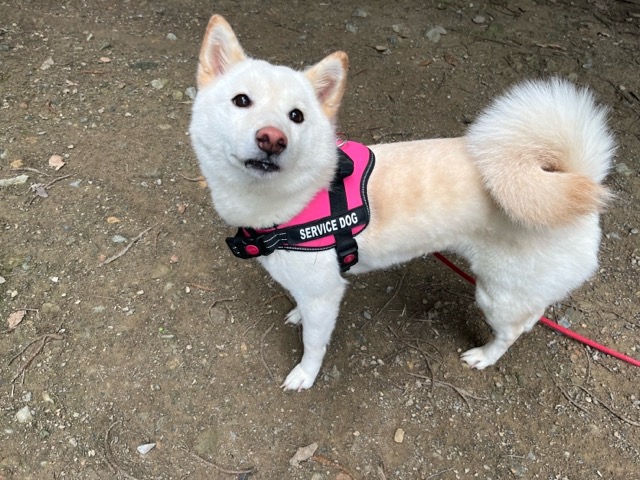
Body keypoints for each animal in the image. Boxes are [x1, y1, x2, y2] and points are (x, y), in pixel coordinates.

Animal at [189, 14, 615, 391]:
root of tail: (579, 181)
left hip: (498, 294)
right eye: (241, 100)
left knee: (512, 330)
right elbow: (299, 304)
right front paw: (295, 313)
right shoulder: (307, 286)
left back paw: (484, 355)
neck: (298, 197)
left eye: (297, 116)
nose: (272, 139)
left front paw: (305, 376)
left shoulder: (325, 296)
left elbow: (313, 344)